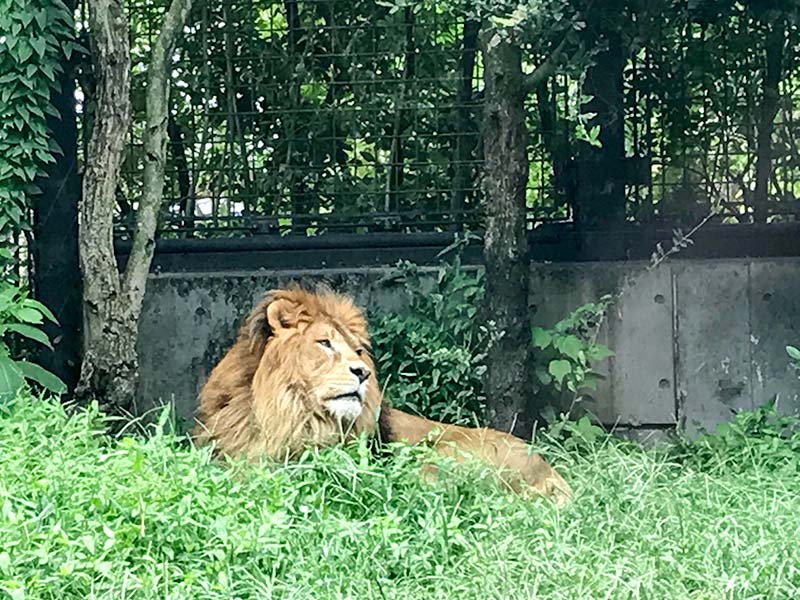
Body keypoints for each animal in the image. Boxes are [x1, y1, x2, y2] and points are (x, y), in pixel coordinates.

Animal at [194, 286, 572, 506]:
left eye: (358, 351)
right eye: (325, 343)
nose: (362, 372)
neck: (288, 414)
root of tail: (548, 470)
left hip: (435, 458)